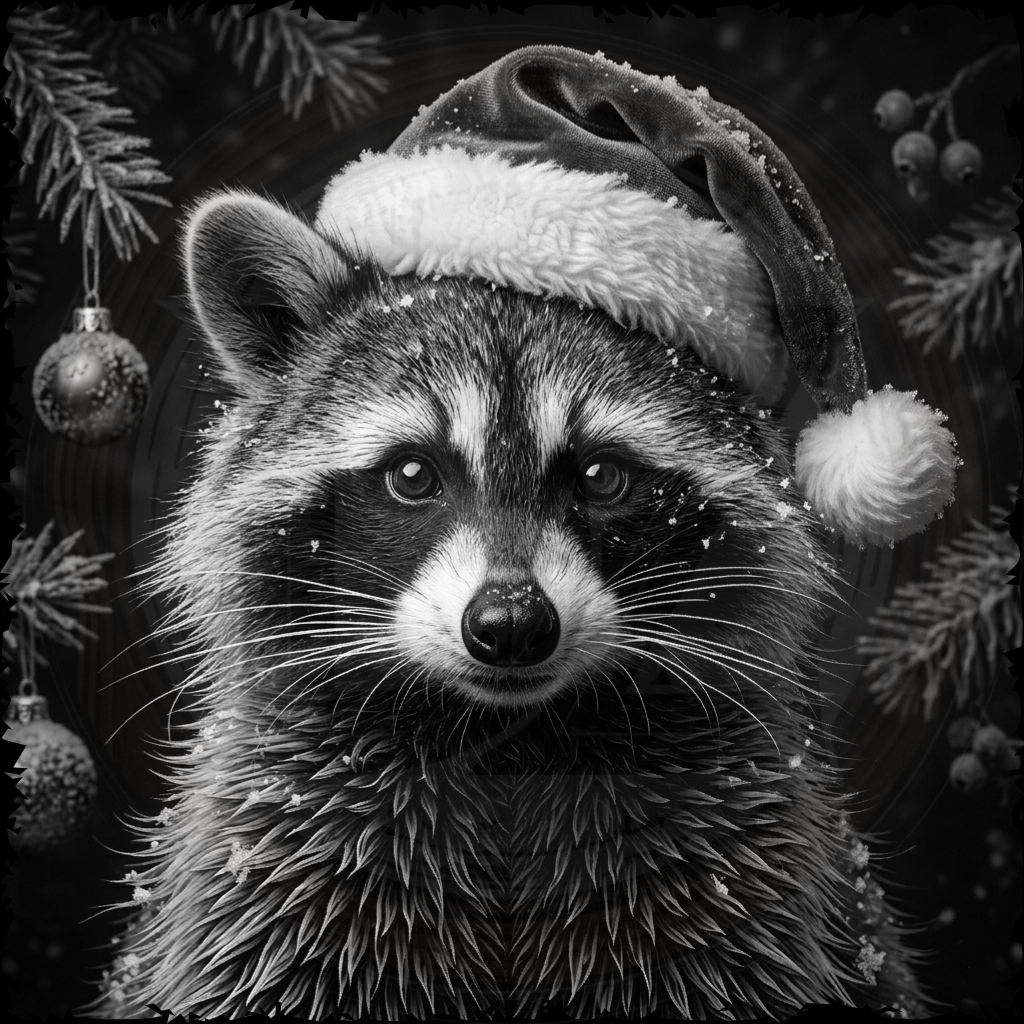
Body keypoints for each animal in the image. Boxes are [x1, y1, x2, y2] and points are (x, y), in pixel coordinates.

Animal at [94, 192, 927, 1020]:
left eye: (601, 476)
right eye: (411, 474)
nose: (513, 626)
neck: (508, 742)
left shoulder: (731, 856)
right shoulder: (280, 849)